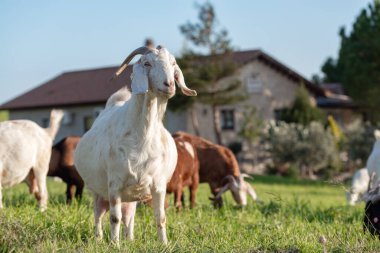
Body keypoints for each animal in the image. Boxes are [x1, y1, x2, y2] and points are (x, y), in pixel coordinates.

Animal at [74, 46, 197, 245]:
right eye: (147, 63)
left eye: (173, 64)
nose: (169, 84)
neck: (142, 136)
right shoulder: (114, 183)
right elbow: (114, 218)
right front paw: (114, 245)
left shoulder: (158, 185)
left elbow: (160, 217)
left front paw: (164, 244)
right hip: (98, 191)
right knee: (99, 214)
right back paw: (99, 239)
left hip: (131, 198)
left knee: (129, 218)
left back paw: (130, 239)